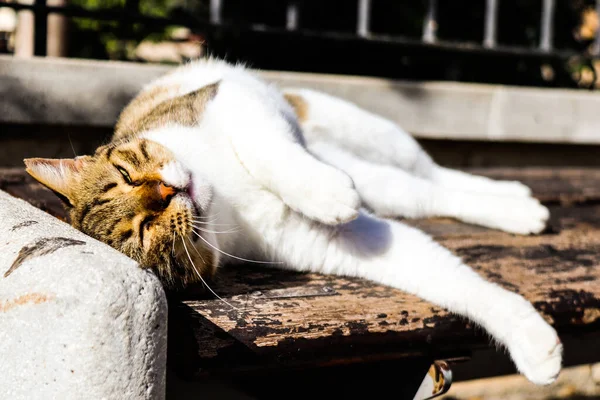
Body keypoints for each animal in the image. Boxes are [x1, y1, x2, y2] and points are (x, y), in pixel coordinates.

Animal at [24, 57, 564, 386]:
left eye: (125, 173)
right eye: (143, 231)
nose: (167, 193)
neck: (226, 202)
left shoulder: (229, 101)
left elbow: (266, 149)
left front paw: (323, 192)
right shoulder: (336, 242)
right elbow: (445, 278)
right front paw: (531, 341)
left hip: (364, 135)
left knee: (429, 176)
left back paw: (515, 199)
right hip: (379, 178)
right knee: (423, 194)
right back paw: (518, 207)